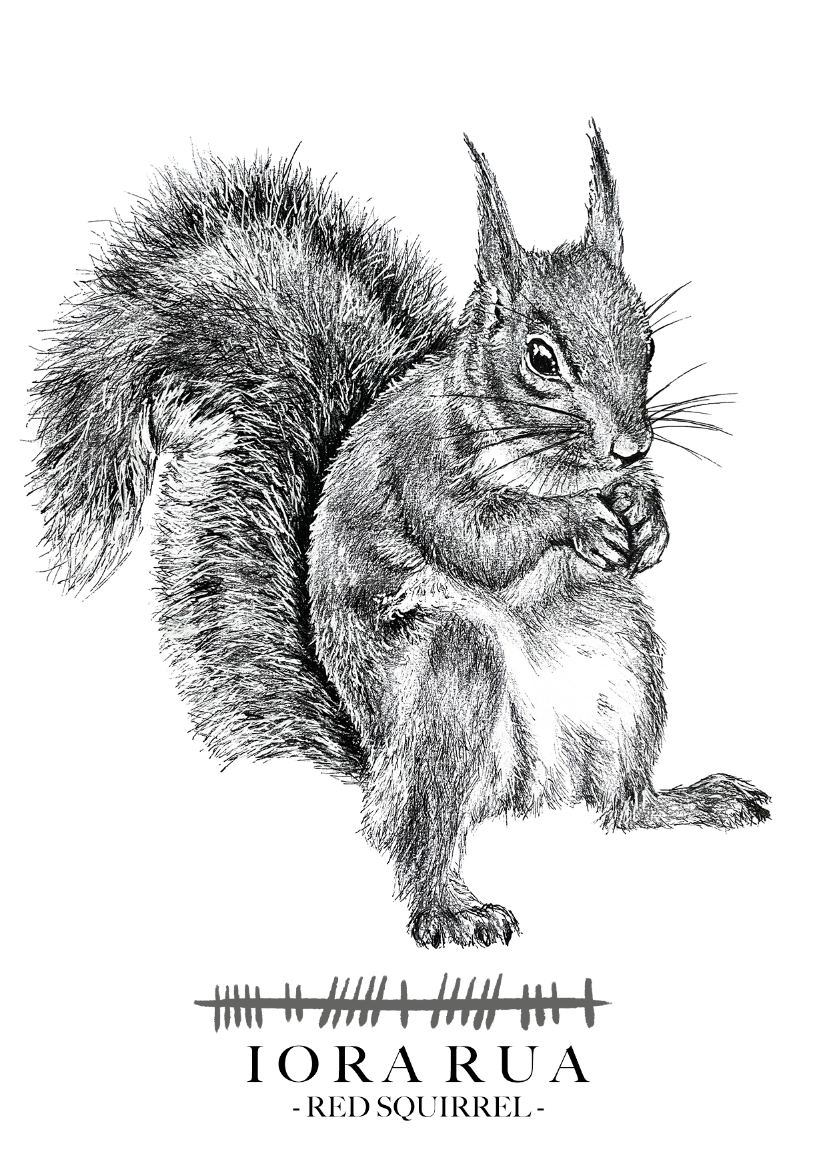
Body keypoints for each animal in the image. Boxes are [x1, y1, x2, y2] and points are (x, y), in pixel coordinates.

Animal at [31, 124, 771, 948]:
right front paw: (577, 520)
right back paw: (451, 907)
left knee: (620, 809)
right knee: (415, 832)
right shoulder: (420, 468)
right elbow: (477, 538)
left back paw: (690, 801)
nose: (631, 446)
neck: (541, 458)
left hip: (628, 665)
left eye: (647, 343)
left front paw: (647, 515)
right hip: (444, 683)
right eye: (542, 357)